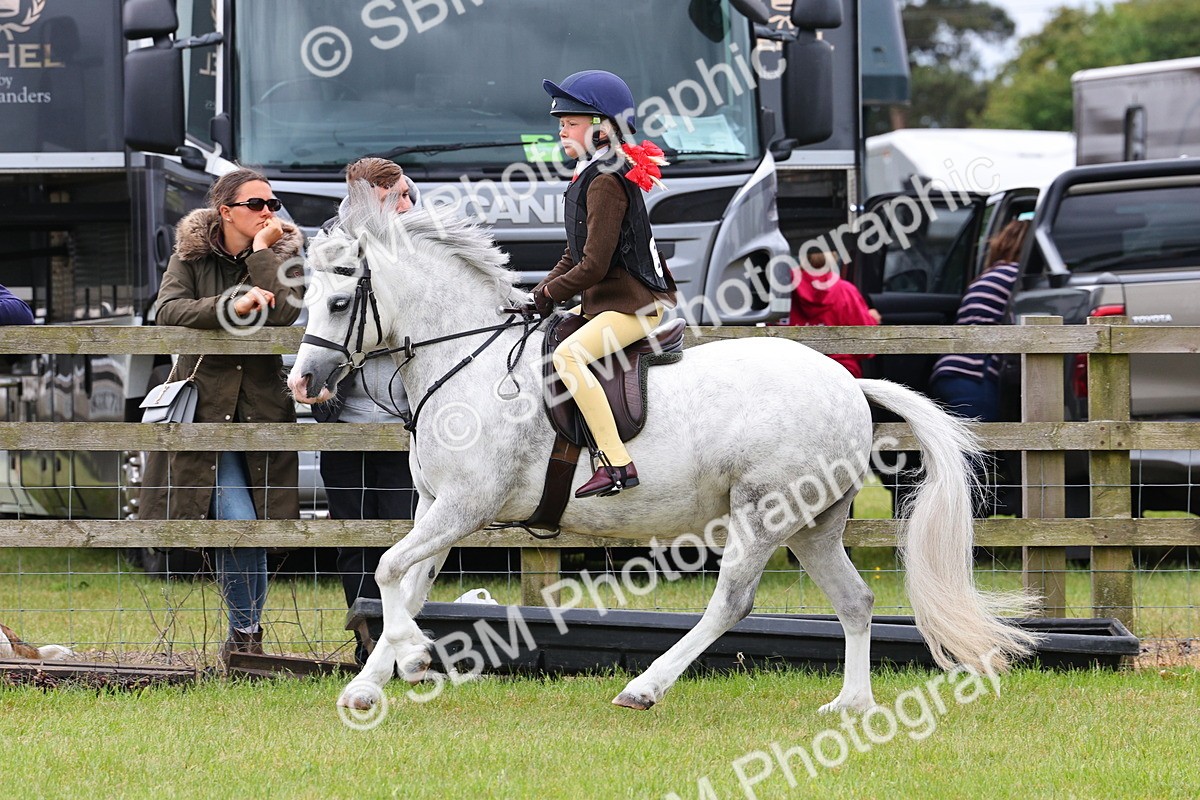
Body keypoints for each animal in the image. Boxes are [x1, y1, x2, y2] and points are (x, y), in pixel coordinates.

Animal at [287, 187, 1038, 714]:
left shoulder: (466, 506)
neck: (465, 360)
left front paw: (412, 658)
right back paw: (851, 703)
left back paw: (645, 687)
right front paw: (368, 686)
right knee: (855, 601)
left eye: (340, 298)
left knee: (732, 602)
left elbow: (388, 570)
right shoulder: (436, 506)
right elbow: (406, 582)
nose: (302, 382)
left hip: (762, 514)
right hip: (814, 524)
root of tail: (848, 383)